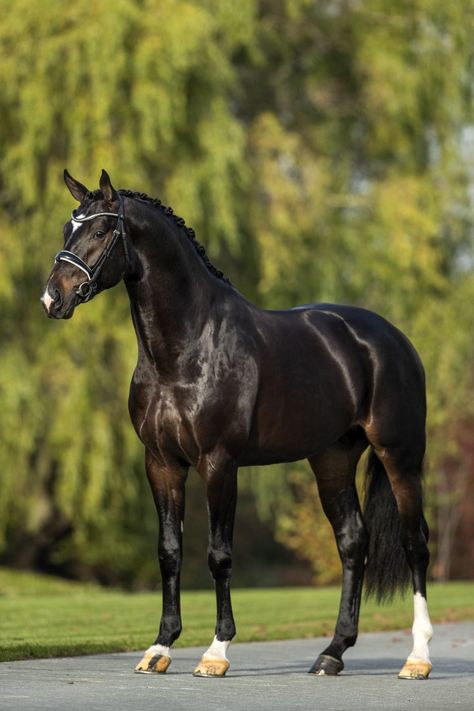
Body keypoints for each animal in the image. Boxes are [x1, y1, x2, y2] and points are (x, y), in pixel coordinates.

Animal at [41, 171, 434, 680]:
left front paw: (216, 651)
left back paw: (417, 658)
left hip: (400, 456)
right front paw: (160, 647)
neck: (188, 348)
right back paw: (332, 653)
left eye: (102, 230)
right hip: (332, 458)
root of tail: (391, 337)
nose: (53, 297)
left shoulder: (219, 463)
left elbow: (219, 555)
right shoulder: (161, 463)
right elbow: (170, 551)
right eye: (68, 227)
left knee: (415, 543)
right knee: (352, 542)